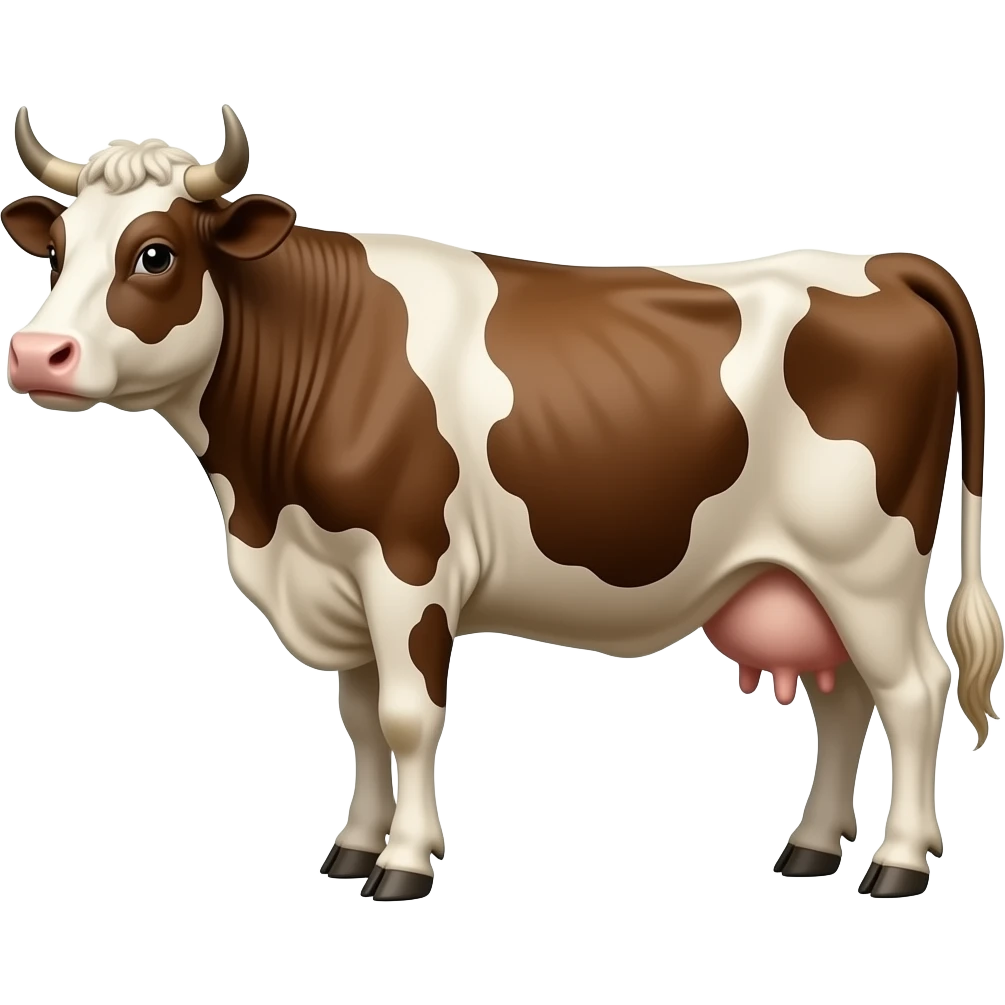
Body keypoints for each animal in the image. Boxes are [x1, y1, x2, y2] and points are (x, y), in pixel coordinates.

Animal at [3, 105, 1001, 903]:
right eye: (55, 253)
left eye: (155, 253)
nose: (36, 353)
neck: (264, 504)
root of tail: (886, 261)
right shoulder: (337, 576)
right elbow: (360, 719)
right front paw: (352, 846)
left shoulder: (406, 566)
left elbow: (407, 716)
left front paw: (403, 864)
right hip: (808, 576)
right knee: (847, 699)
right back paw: (809, 848)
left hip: (865, 562)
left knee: (913, 689)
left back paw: (897, 863)